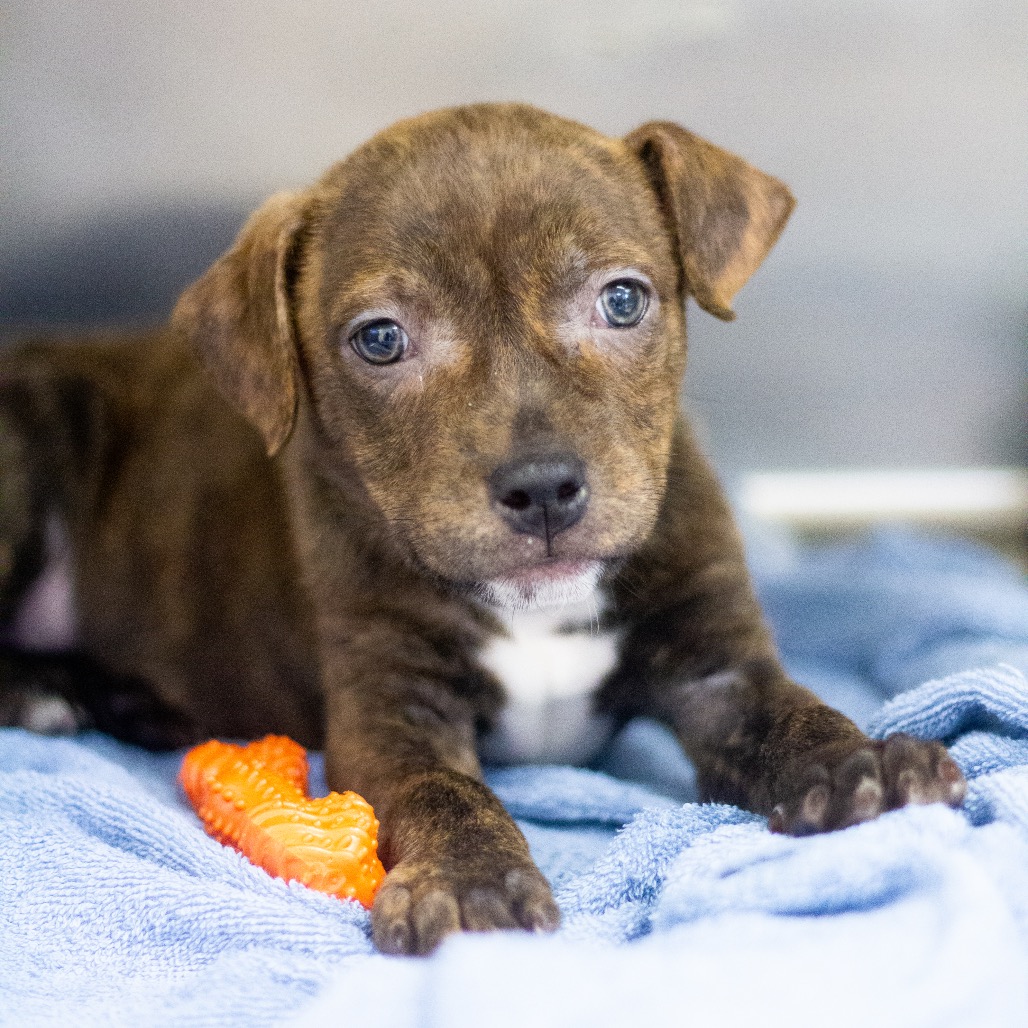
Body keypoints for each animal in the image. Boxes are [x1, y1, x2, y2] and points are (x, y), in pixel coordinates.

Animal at [0, 103, 966, 954]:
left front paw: (858, 765)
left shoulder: (715, 664)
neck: (534, 607)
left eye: (623, 301)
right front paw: (467, 882)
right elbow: (441, 792)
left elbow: (790, 711)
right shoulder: (390, 709)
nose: (542, 490)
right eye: (380, 339)